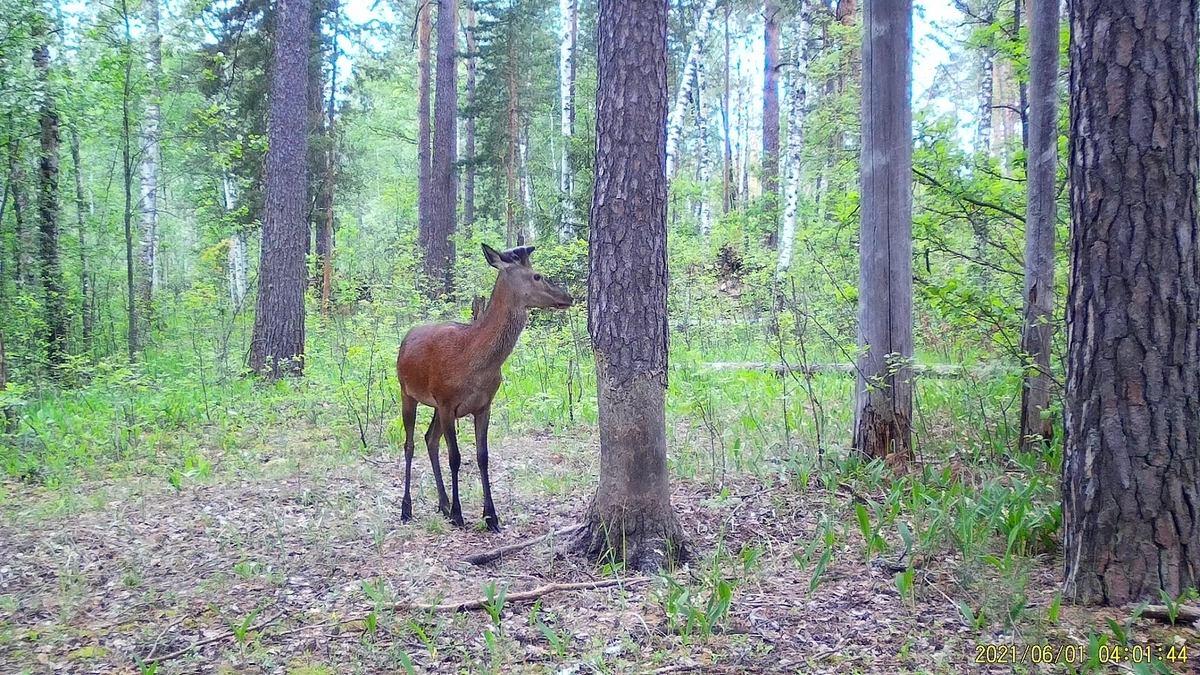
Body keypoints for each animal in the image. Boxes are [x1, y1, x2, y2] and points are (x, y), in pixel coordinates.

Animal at [396, 242, 573, 530]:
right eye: (537, 276)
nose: (567, 297)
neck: (474, 361)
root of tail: (406, 338)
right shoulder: (447, 403)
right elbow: (455, 457)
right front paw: (459, 514)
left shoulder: (483, 405)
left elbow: (483, 456)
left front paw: (490, 516)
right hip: (407, 392)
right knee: (410, 445)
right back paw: (407, 509)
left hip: (434, 405)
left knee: (430, 439)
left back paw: (442, 504)